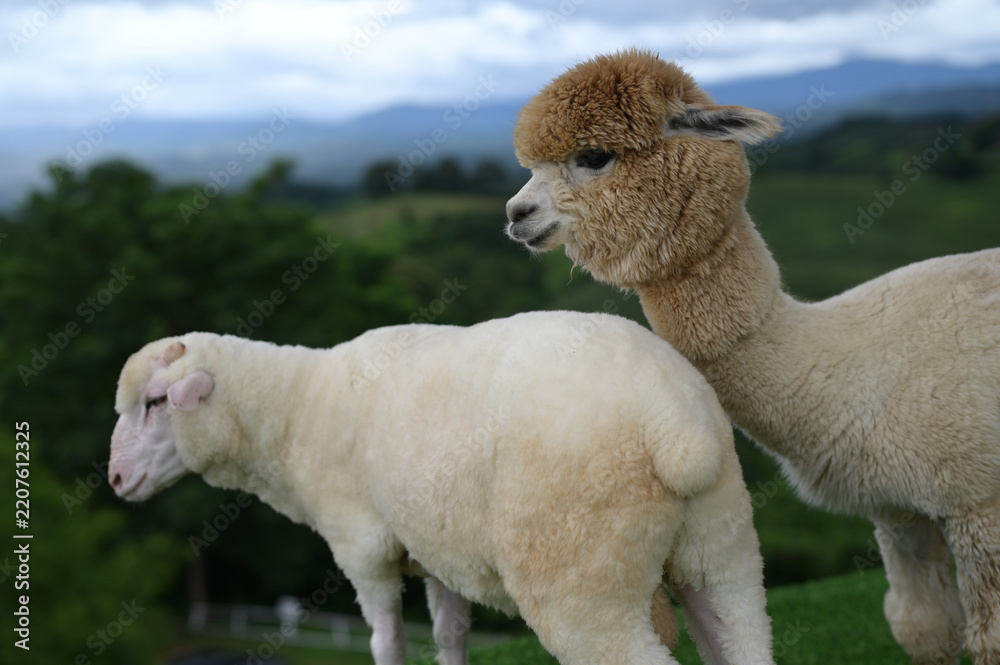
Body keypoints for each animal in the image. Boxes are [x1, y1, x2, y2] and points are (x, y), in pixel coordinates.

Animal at [107, 311, 776, 665]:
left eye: (157, 402)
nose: (115, 479)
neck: (297, 410)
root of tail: (674, 421)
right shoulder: (438, 552)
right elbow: (451, 638)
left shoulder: (364, 551)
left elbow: (387, 641)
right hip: (722, 546)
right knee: (742, 638)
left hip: (581, 569)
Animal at [504, 48, 1000, 665]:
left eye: (594, 156)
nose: (515, 213)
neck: (845, 363)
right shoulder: (898, 509)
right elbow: (923, 628)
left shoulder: (978, 499)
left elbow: (989, 638)